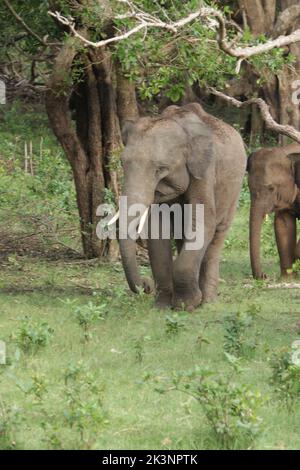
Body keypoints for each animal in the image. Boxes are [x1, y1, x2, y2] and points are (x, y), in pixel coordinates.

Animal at [116, 103, 246, 310]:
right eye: (122, 163)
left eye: (161, 169)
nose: (146, 285)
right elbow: (157, 230)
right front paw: (161, 306)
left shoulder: (204, 171)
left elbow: (203, 222)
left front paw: (186, 305)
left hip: (234, 189)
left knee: (216, 238)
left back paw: (207, 302)